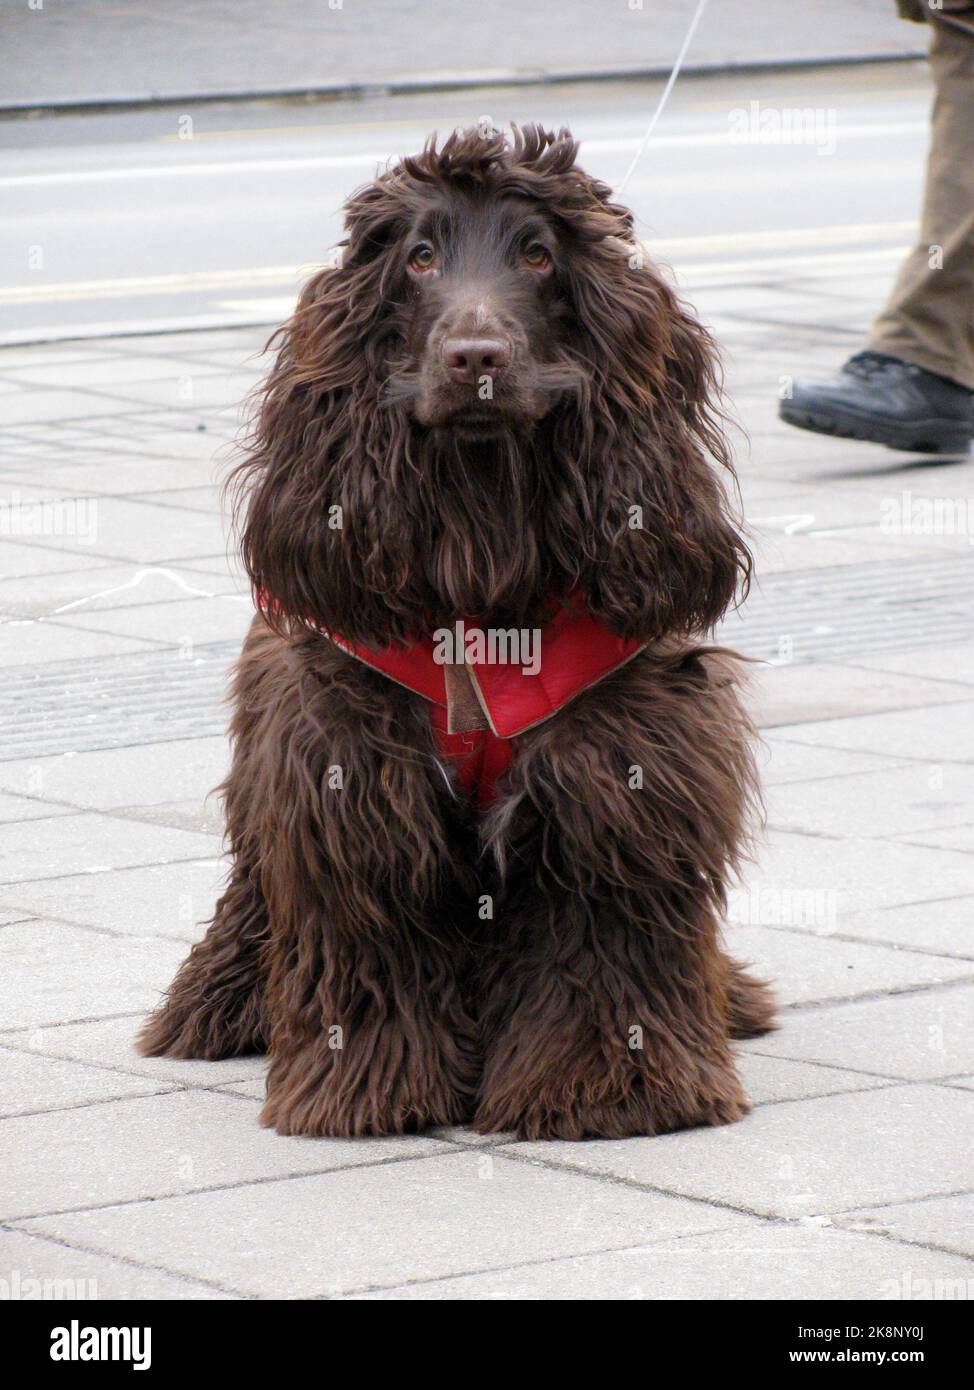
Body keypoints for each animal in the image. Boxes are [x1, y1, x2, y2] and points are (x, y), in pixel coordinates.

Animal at [138, 125, 772, 1134]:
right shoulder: (347, 770)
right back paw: (216, 1008)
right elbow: (369, 942)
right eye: (421, 256)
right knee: (251, 894)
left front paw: (611, 1088)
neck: (483, 556)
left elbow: (604, 946)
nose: (476, 357)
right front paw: (368, 1087)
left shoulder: (619, 774)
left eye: (539, 255)